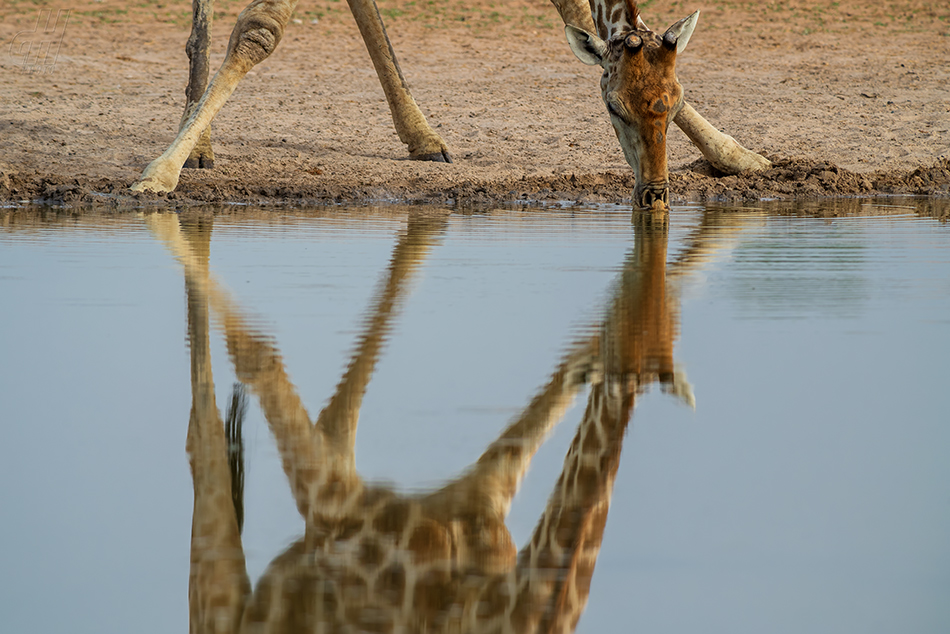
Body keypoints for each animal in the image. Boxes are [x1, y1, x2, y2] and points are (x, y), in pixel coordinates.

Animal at [130, 0, 768, 198]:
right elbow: (261, 29)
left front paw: (740, 157)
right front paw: (158, 173)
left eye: (676, 96)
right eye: (614, 109)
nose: (656, 193)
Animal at [147, 206, 708, 628]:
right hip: (226, 600)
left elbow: (547, 395)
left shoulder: (484, 486)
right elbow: (258, 355)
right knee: (204, 448)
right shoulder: (331, 502)